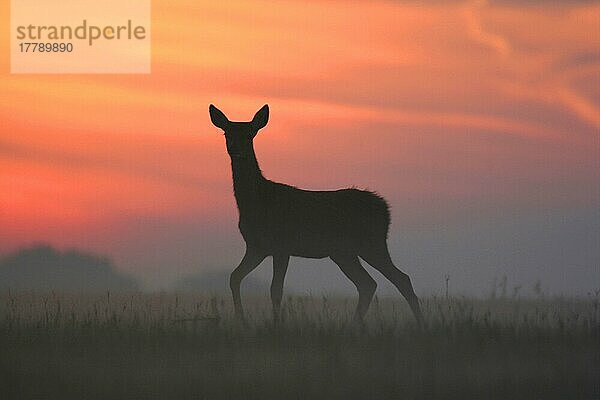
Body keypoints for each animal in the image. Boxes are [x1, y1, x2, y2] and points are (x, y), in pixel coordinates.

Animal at [210, 104, 422, 324]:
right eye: (227, 132)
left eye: (251, 133)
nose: (236, 149)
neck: (257, 201)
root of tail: (385, 208)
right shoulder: (256, 247)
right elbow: (234, 277)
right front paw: (241, 320)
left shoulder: (282, 245)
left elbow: (276, 289)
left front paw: (276, 324)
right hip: (344, 252)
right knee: (368, 283)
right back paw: (356, 324)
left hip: (371, 243)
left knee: (400, 279)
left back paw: (420, 323)